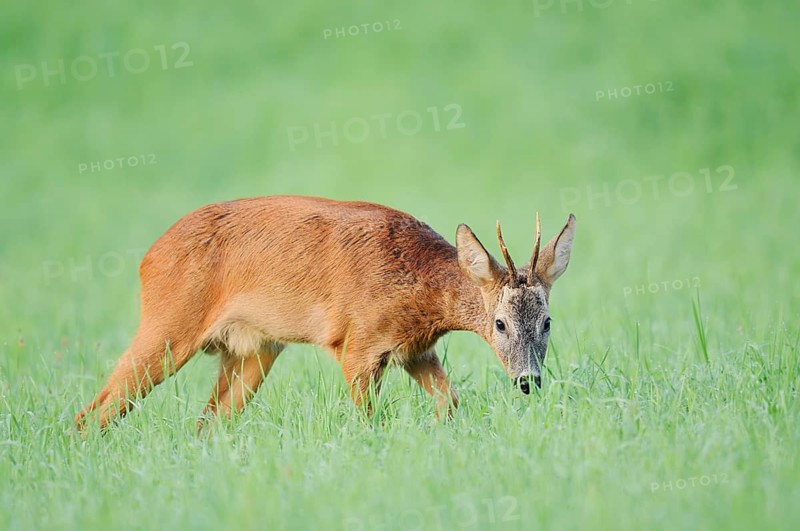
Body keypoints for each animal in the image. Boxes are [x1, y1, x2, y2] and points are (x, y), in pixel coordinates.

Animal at [74, 196, 576, 431]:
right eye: (499, 323)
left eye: (548, 322)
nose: (528, 380)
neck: (417, 286)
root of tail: (148, 258)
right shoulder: (358, 343)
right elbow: (371, 420)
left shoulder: (415, 350)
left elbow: (449, 402)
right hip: (168, 323)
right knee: (93, 412)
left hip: (254, 350)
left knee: (206, 424)